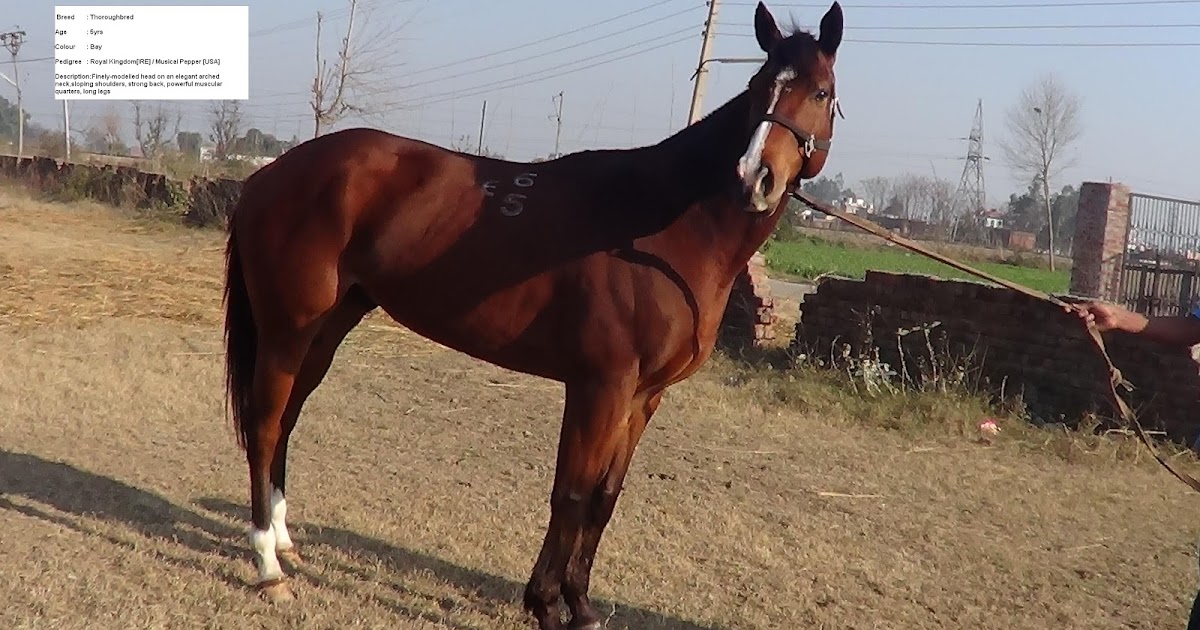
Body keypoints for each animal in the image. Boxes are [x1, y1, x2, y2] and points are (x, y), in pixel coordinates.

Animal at [221, 2, 843, 628]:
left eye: (820, 91)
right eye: (758, 86)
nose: (755, 178)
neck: (658, 231)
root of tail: (269, 175)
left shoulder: (644, 396)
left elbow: (604, 497)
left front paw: (581, 604)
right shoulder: (599, 385)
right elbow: (571, 492)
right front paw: (545, 604)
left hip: (325, 330)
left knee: (287, 419)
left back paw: (283, 542)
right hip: (287, 330)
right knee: (266, 423)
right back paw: (268, 567)